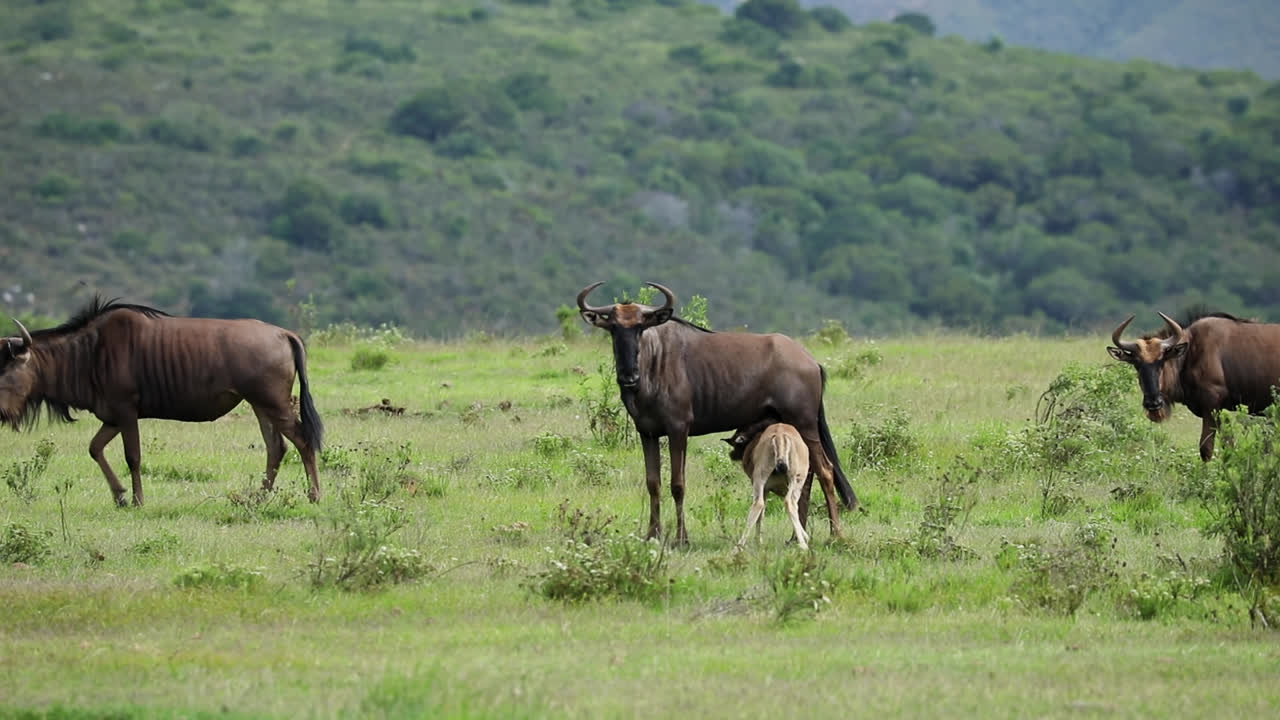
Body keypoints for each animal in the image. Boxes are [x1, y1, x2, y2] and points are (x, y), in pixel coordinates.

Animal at [0, 297, 323, 506]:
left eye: (4, 375)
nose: (1, 415)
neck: (89, 353)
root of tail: (284, 334)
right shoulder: (112, 416)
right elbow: (95, 448)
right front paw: (119, 496)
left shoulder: (126, 412)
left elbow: (133, 456)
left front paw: (137, 500)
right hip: (260, 405)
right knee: (276, 447)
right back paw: (258, 496)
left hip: (273, 404)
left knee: (302, 440)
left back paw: (314, 495)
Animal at [724, 419, 811, 551]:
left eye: (736, 444)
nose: (732, 455)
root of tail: (780, 435)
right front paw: (806, 537)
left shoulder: (766, 488)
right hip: (793, 481)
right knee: (788, 503)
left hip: (761, 480)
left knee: (759, 504)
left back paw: (740, 546)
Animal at [1107, 310, 1280, 461]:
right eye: (1136, 364)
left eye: (1161, 361)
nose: (1153, 403)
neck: (1190, 353)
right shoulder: (1219, 412)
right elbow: (1228, 445)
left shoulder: (1211, 407)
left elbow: (1206, 449)